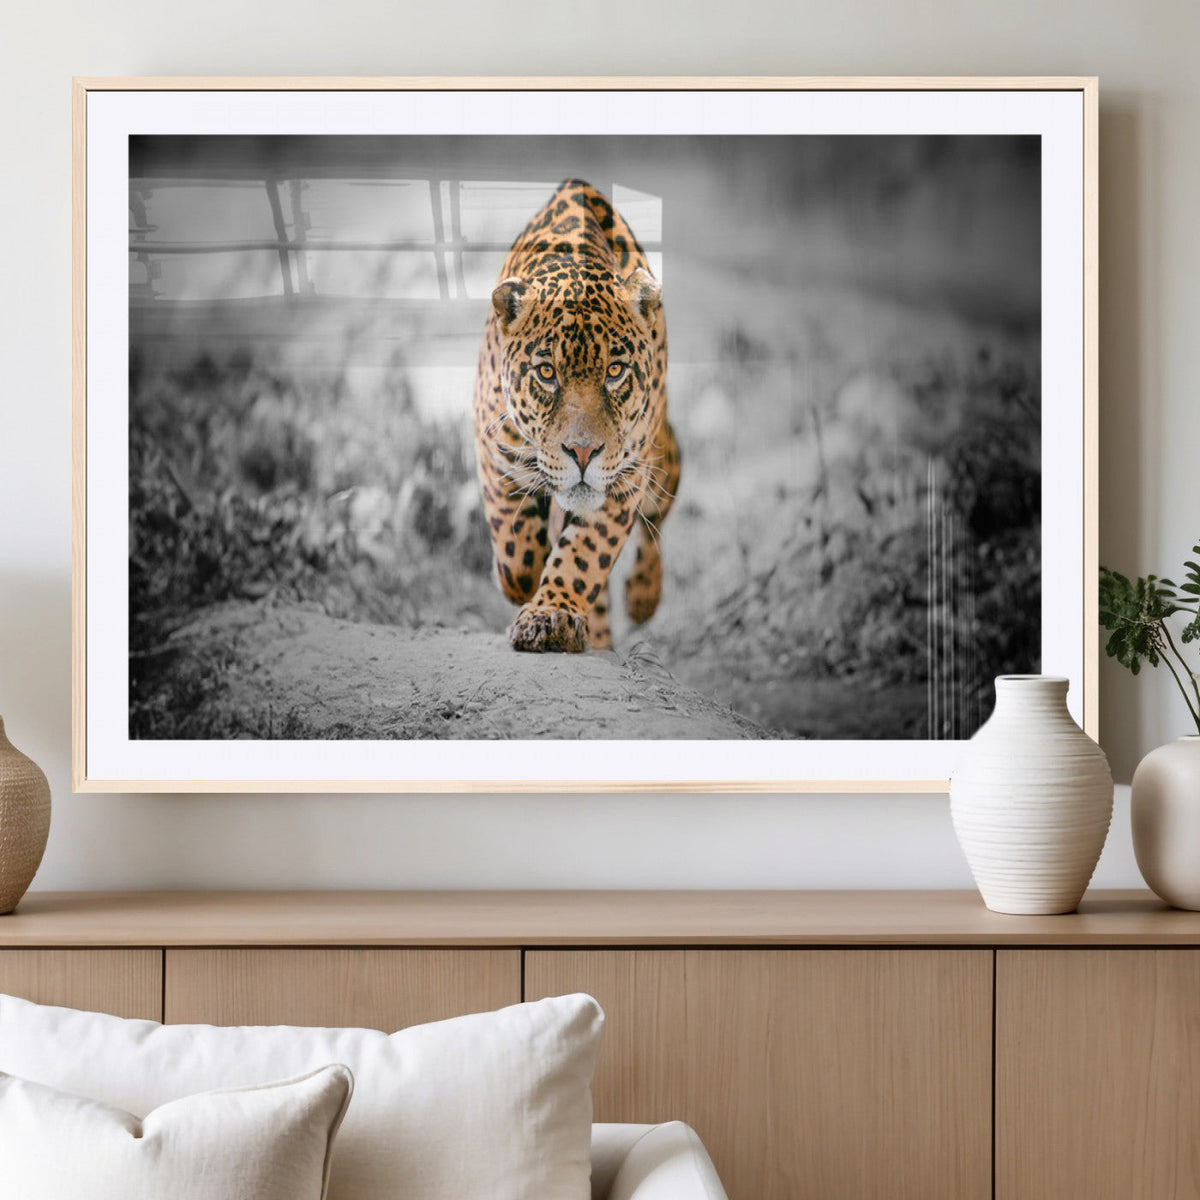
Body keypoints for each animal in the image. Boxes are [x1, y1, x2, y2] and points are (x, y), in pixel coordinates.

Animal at [472, 178, 681, 653]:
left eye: (615, 371)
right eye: (547, 373)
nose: (583, 453)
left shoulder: (625, 477)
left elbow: (584, 555)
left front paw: (551, 615)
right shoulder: (494, 451)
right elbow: (515, 549)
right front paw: (521, 582)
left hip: (662, 459)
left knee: (657, 521)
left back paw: (642, 598)